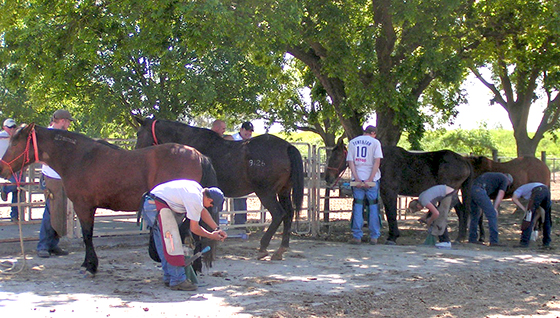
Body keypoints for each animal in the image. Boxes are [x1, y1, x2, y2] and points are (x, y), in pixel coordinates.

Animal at [0, 123, 218, 276]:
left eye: (15, 143)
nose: (2, 169)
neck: (79, 158)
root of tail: (198, 155)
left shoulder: (84, 206)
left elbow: (87, 236)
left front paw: (89, 266)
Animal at [134, 117, 304, 260]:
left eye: (138, 133)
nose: (136, 151)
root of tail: (287, 146)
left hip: (266, 192)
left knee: (279, 214)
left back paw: (263, 247)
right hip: (283, 191)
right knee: (289, 214)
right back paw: (281, 249)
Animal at [324, 140, 472, 242]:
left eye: (335, 157)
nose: (327, 177)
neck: (380, 161)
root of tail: (464, 160)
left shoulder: (390, 192)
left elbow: (391, 214)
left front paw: (392, 237)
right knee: (460, 210)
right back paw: (458, 237)